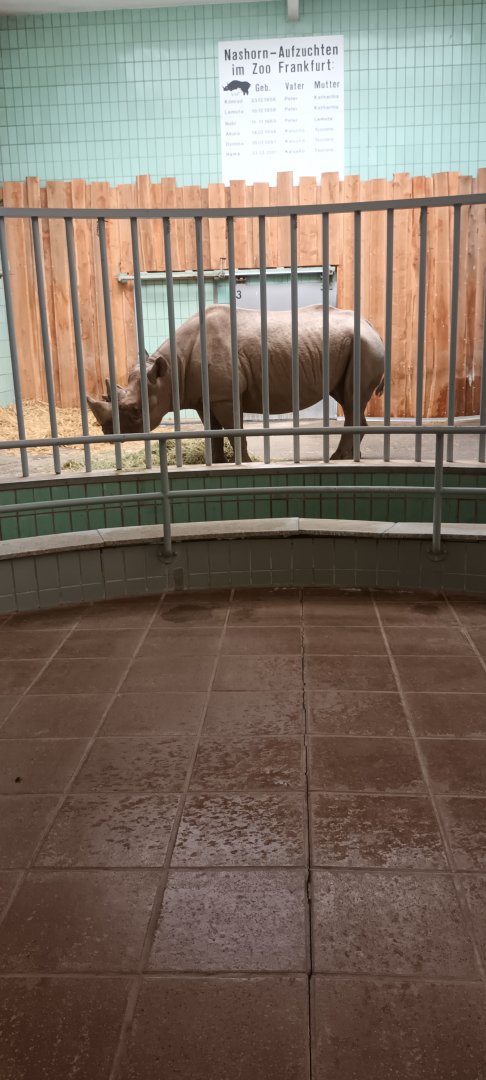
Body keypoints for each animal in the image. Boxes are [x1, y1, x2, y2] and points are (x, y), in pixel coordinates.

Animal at [87, 304, 385, 462]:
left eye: (136, 411)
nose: (109, 432)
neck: (169, 371)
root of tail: (372, 326)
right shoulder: (204, 398)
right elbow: (214, 433)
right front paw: (216, 462)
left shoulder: (225, 396)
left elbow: (233, 433)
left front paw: (243, 462)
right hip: (355, 346)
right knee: (348, 400)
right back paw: (349, 457)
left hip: (364, 346)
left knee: (352, 399)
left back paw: (337, 459)